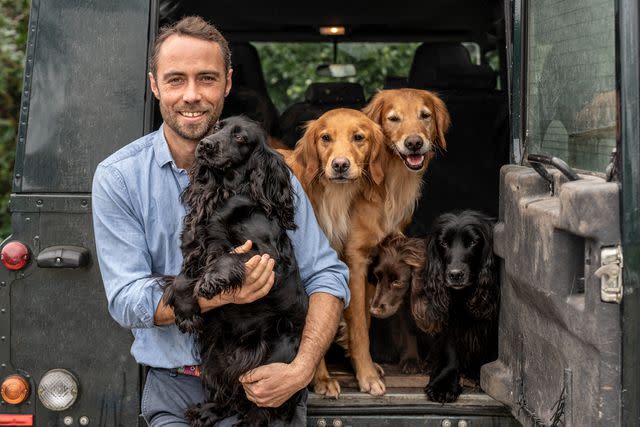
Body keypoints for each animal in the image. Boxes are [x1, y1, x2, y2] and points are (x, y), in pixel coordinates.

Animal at [162, 116, 308, 427]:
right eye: (218, 126)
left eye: (240, 137)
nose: (205, 145)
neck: (223, 193)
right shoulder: (195, 248)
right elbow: (181, 280)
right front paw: (187, 311)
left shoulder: (269, 256)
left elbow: (230, 256)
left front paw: (212, 280)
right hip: (215, 355)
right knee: (228, 392)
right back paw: (206, 412)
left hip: (272, 361)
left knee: (261, 406)